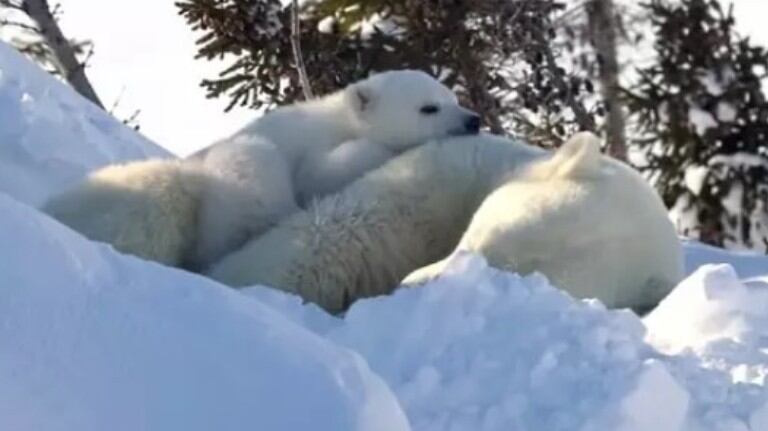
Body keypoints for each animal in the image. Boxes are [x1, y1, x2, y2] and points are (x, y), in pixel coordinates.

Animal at [43, 71, 480, 272]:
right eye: (428, 107)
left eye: (451, 96)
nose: (473, 120)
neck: (341, 120)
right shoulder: (309, 147)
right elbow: (322, 172)